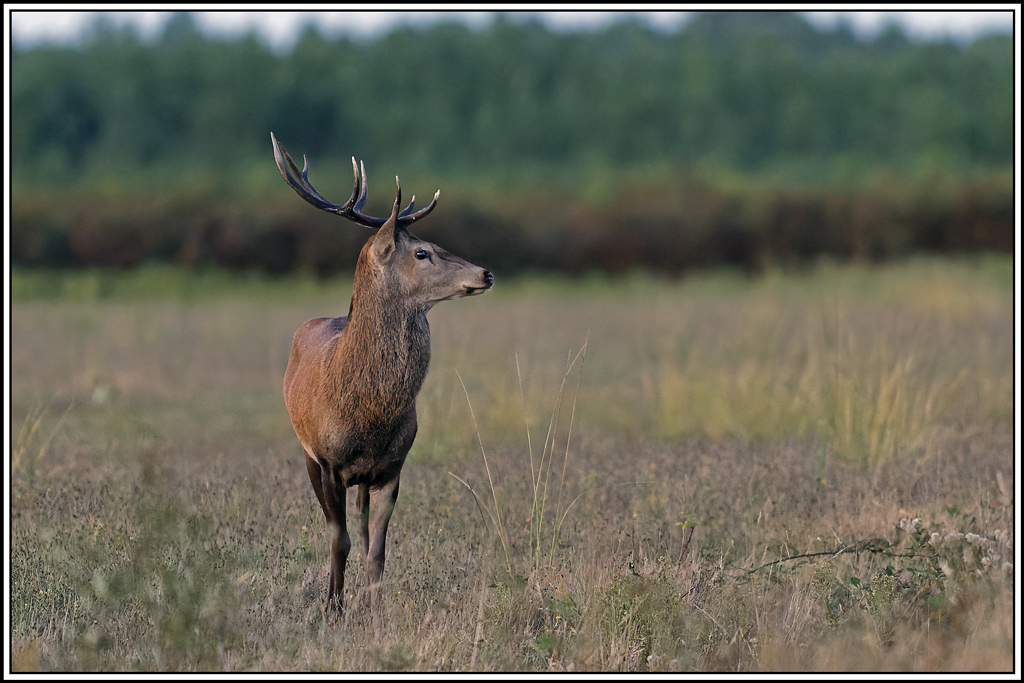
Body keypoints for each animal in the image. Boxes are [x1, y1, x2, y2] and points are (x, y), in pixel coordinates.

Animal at [271, 132, 493, 615]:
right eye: (422, 252)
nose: (486, 272)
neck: (369, 417)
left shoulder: (392, 466)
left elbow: (377, 551)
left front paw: (373, 613)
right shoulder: (329, 461)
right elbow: (339, 542)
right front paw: (334, 609)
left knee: (363, 527)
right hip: (307, 453)